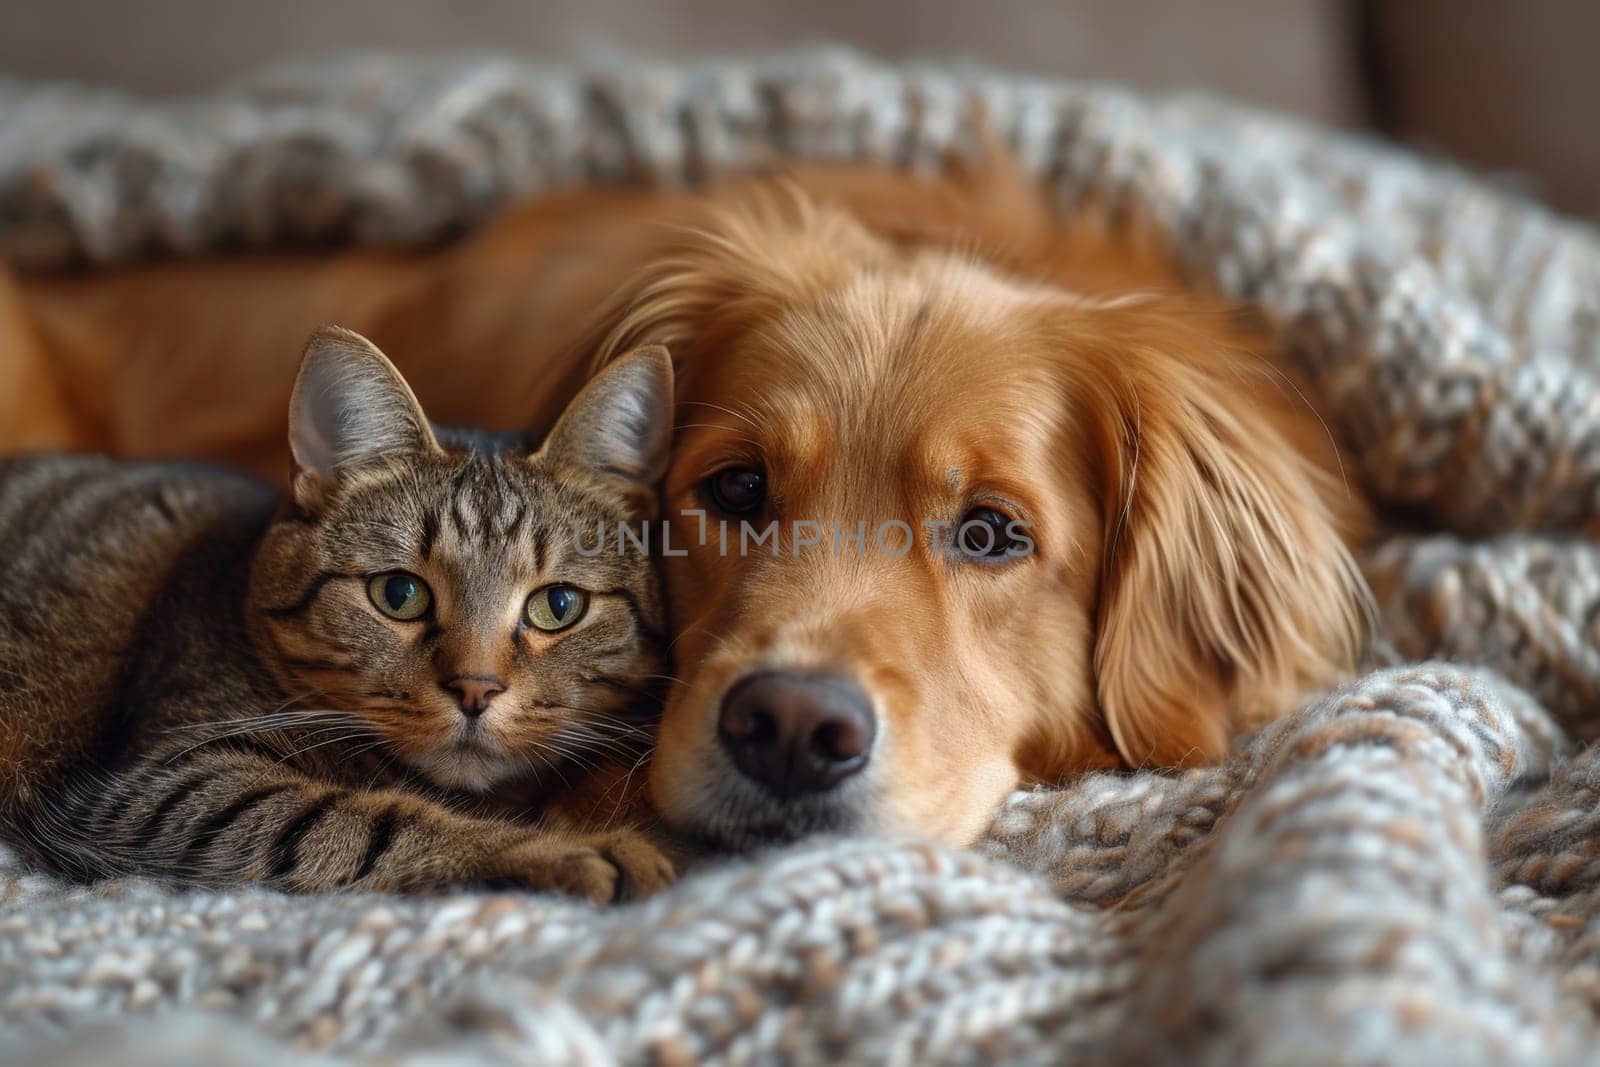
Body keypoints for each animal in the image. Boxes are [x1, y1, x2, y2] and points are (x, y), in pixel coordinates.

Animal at [0, 326, 675, 902]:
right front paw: (567, 851)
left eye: (558, 606)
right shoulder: (159, 785)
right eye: (398, 594)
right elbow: (359, 820)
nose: (475, 689)